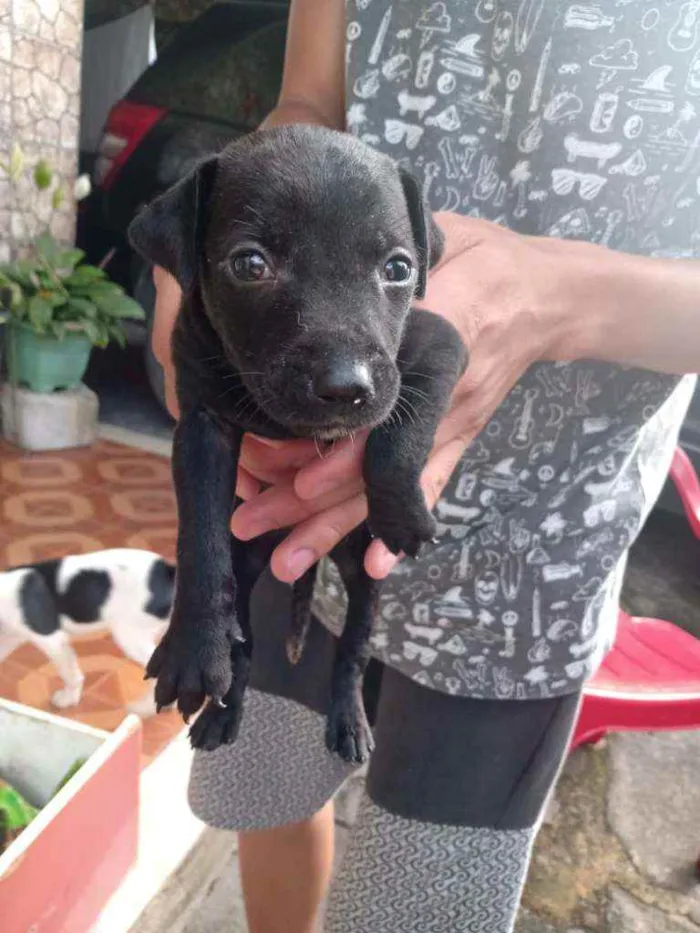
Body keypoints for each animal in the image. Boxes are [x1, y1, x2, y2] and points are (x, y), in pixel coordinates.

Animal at [0, 548, 174, 716]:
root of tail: (169, 571)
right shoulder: (9, 637)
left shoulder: (53, 640)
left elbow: (70, 673)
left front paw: (68, 699)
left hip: (130, 637)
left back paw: (146, 708)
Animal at [129, 124, 468, 760]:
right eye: (250, 264)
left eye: (398, 268)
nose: (346, 387)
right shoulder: (201, 426)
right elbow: (201, 536)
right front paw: (192, 651)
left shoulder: (439, 346)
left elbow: (403, 428)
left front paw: (403, 512)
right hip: (247, 562)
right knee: (244, 647)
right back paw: (222, 714)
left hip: (364, 579)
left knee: (353, 650)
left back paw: (349, 719)